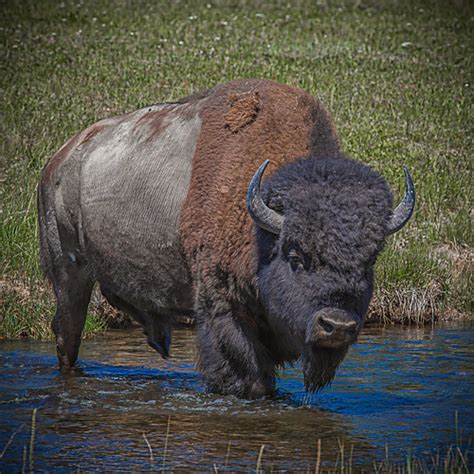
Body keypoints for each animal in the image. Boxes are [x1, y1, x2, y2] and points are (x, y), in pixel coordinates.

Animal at [38, 79, 414, 398]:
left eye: (370, 261)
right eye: (295, 256)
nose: (336, 325)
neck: (262, 236)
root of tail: (58, 160)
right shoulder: (223, 306)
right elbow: (248, 376)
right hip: (69, 272)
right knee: (67, 333)